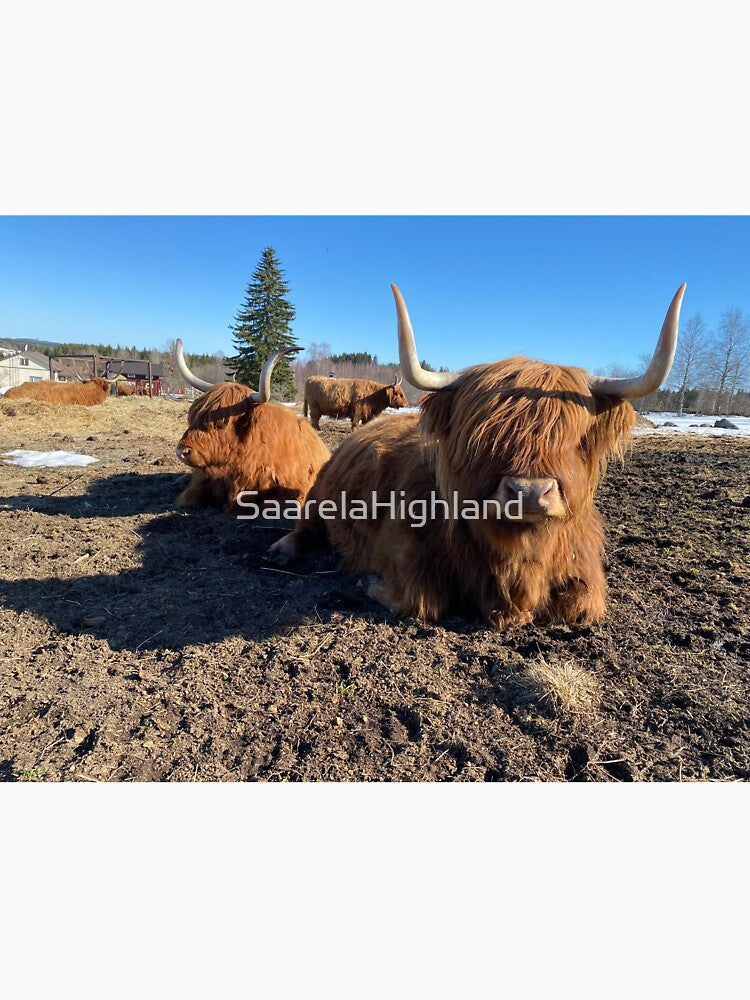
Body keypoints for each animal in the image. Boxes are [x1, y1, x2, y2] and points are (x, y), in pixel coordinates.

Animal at [268, 282, 686, 629]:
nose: (530, 493)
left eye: (572, 436)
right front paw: (368, 580)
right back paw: (282, 550)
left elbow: (582, 606)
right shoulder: (403, 555)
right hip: (319, 494)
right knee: (303, 526)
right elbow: (421, 601)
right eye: (483, 435)